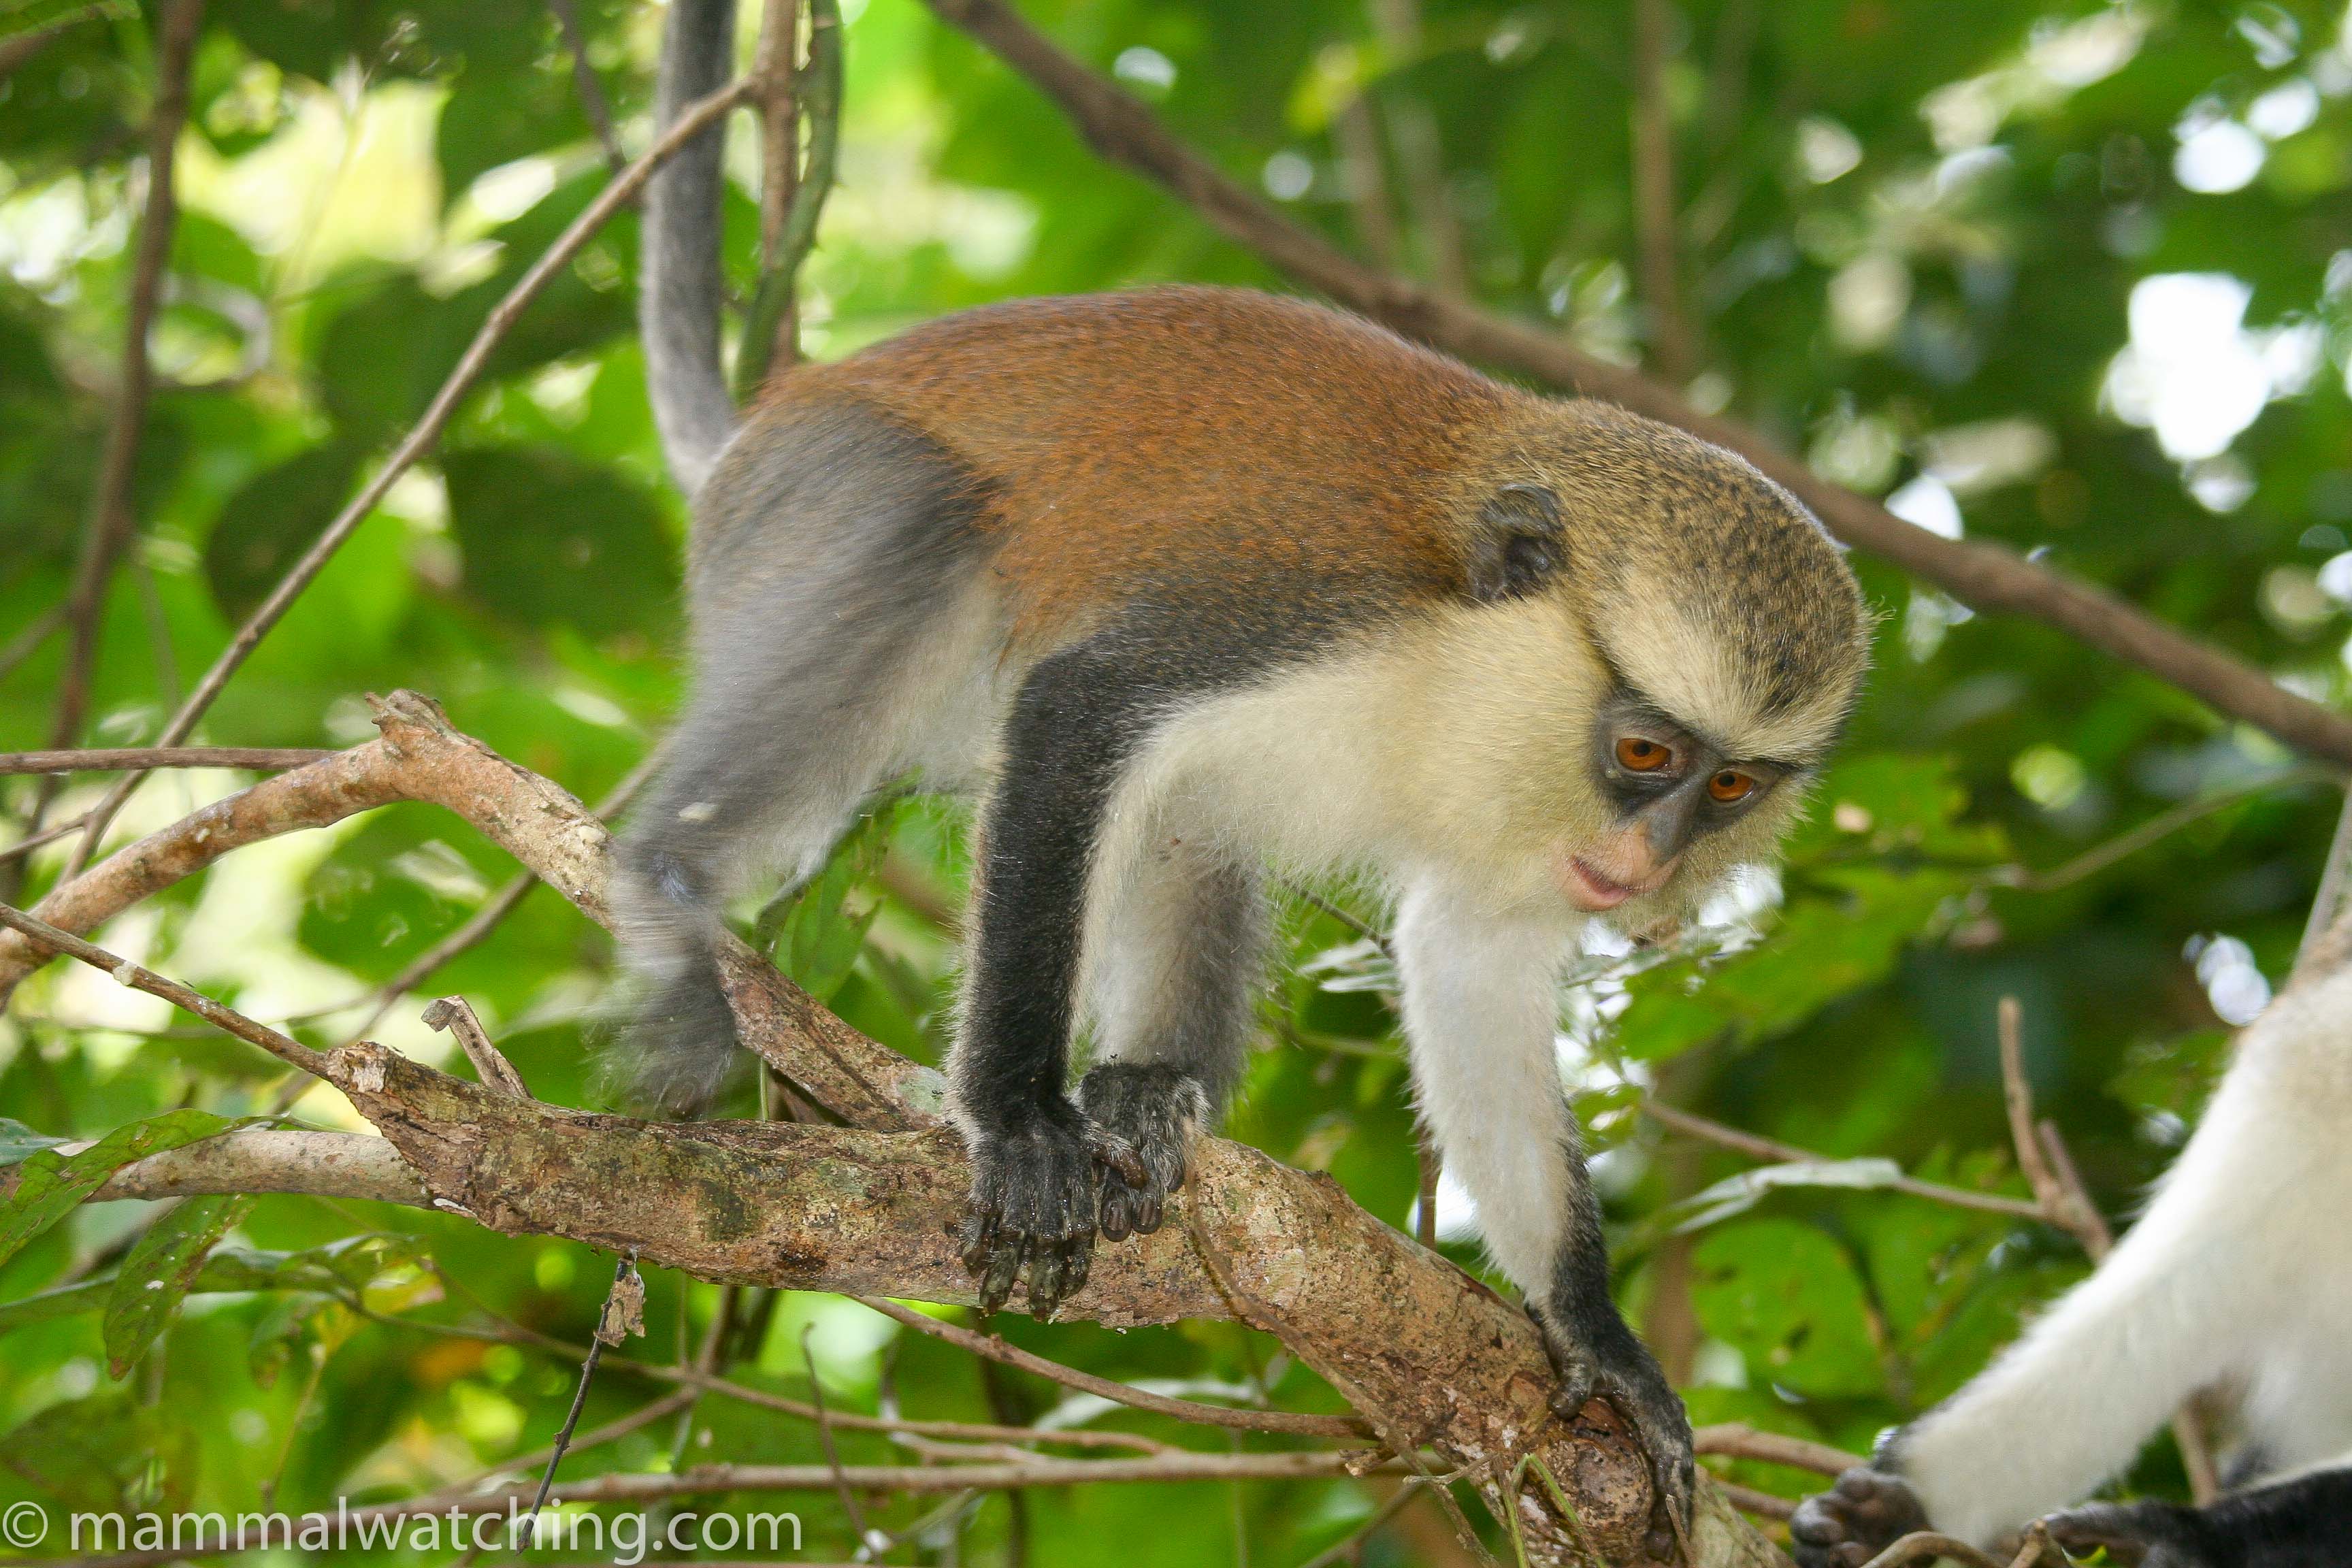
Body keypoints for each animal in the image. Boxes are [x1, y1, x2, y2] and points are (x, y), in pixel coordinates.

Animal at [625, 0, 1872, 1533]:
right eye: (1646, 750)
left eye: (1733, 787)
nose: (1644, 864)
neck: (1457, 667)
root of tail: (783, 411)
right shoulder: (1302, 613)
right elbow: (1079, 706)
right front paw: (1019, 1120)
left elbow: (1464, 955)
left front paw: (1597, 1334)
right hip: (827, 493)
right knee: (919, 539)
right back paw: (673, 885)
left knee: (1189, 824)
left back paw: (1150, 1093)